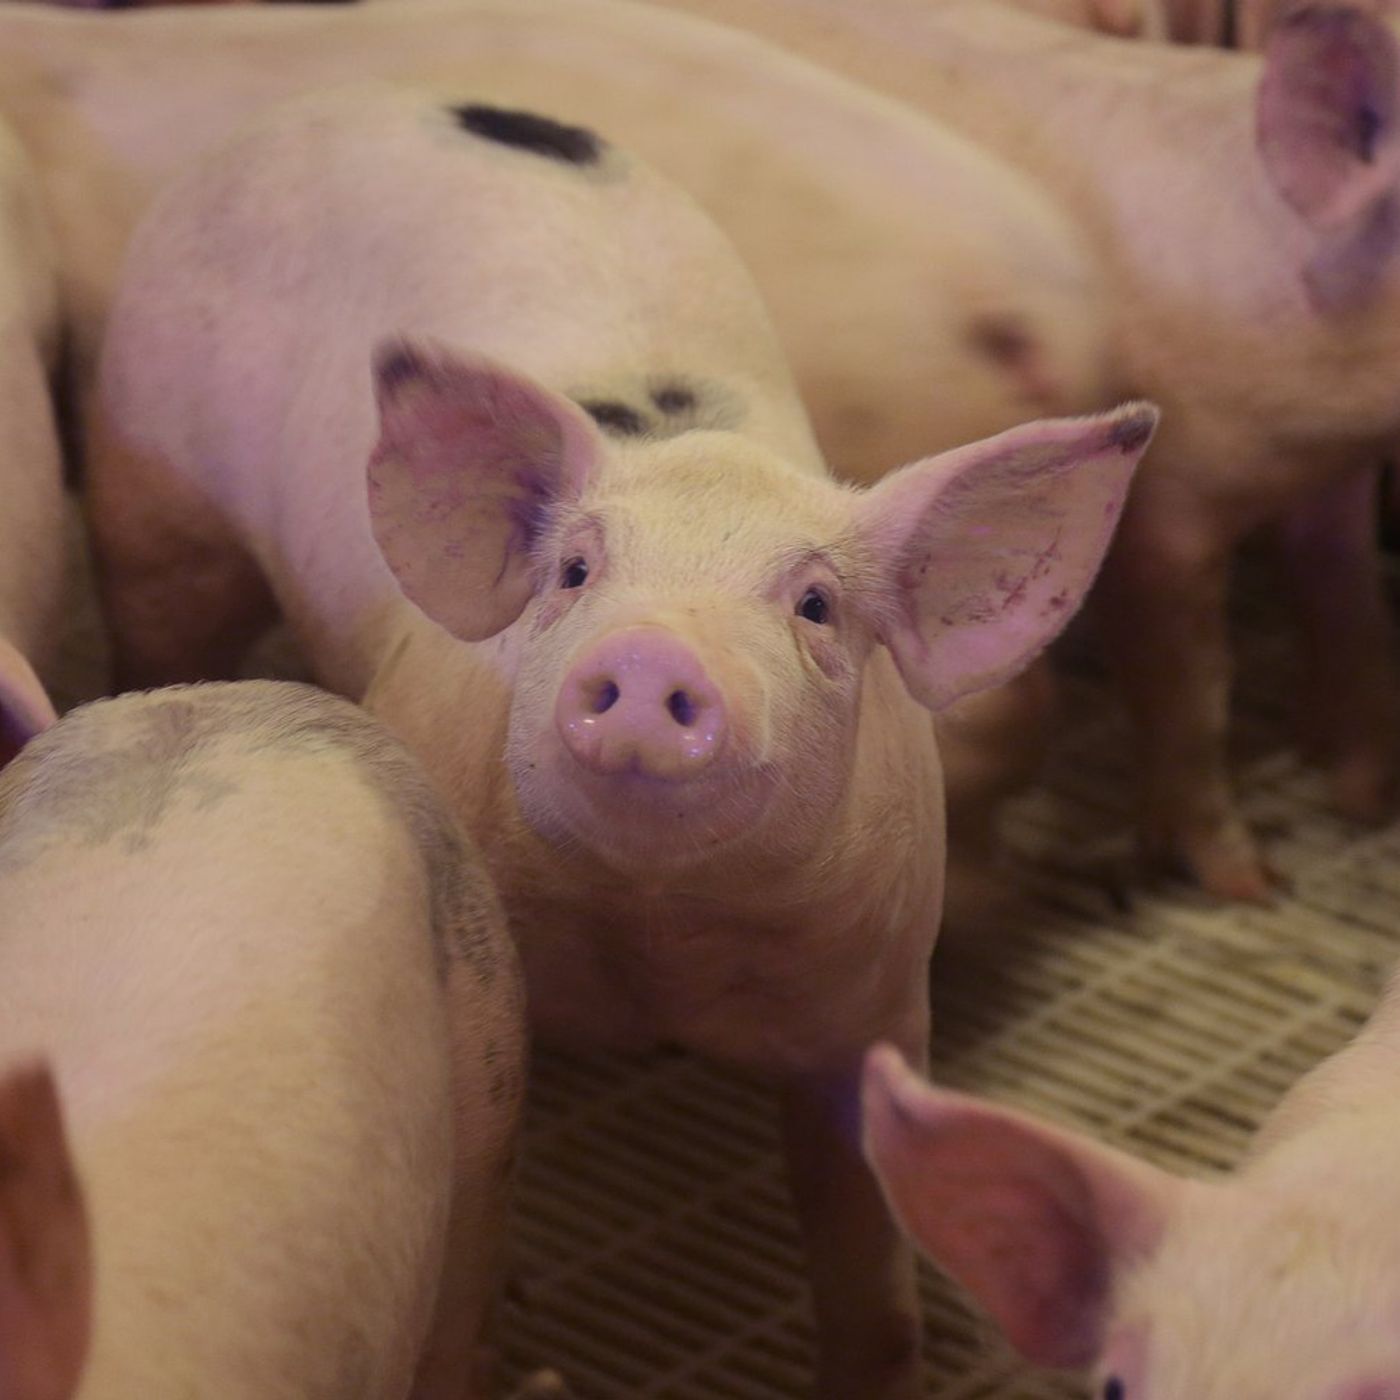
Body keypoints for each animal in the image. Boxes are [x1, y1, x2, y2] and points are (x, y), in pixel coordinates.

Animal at [87, 82, 1156, 1397]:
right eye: (575, 571)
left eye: (814, 605)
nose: (653, 653)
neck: (657, 938)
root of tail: (353, 105)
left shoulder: (869, 994)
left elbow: (863, 1247)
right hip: (147, 490)